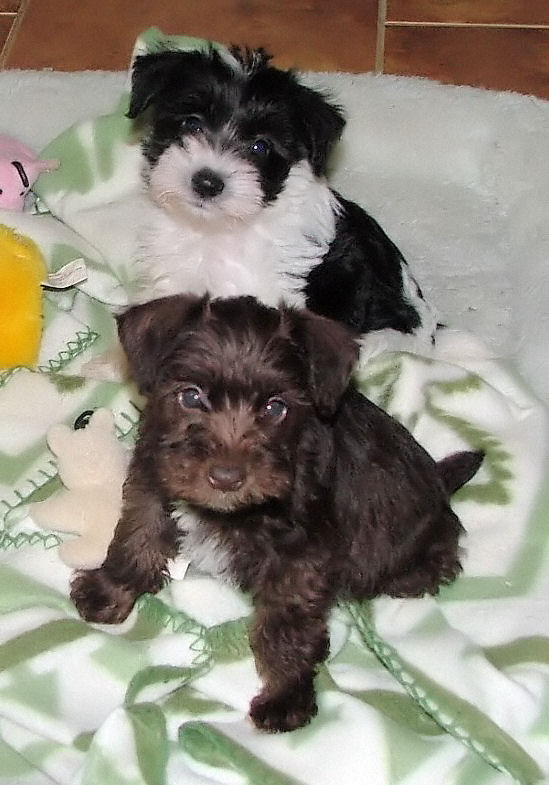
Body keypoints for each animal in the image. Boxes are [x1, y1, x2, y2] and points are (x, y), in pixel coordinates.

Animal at [70, 292, 482, 728]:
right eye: (191, 396)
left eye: (274, 408)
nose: (227, 477)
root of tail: (441, 483)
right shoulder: (152, 480)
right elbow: (137, 535)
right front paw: (109, 589)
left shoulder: (301, 559)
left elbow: (286, 627)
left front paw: (286, 694)